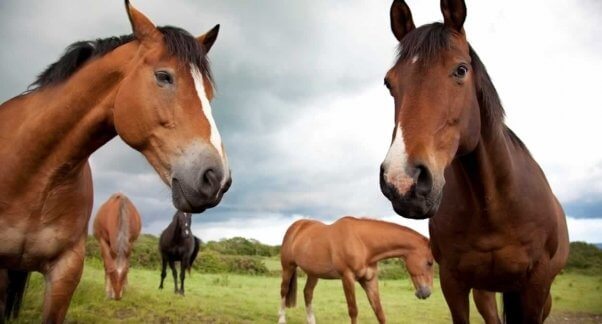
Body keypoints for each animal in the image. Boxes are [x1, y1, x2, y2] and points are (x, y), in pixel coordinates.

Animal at [276, 216, 432, 324]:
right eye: (430, 262)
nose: (426, 293)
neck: (362, 243)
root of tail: (296, 227)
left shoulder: (369, 280)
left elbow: (379, 312)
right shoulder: (347, 278)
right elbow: (353, 311)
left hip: (313, 273)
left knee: (307, 293)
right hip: (288, 267)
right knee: (284, 291)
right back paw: (281, 319)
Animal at [380, 1, 568, 322]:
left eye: (461, 70)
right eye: (388, 82)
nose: (403, 181)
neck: (492, 206)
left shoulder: (536, 285)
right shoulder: (452, 283)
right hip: (486, 292)